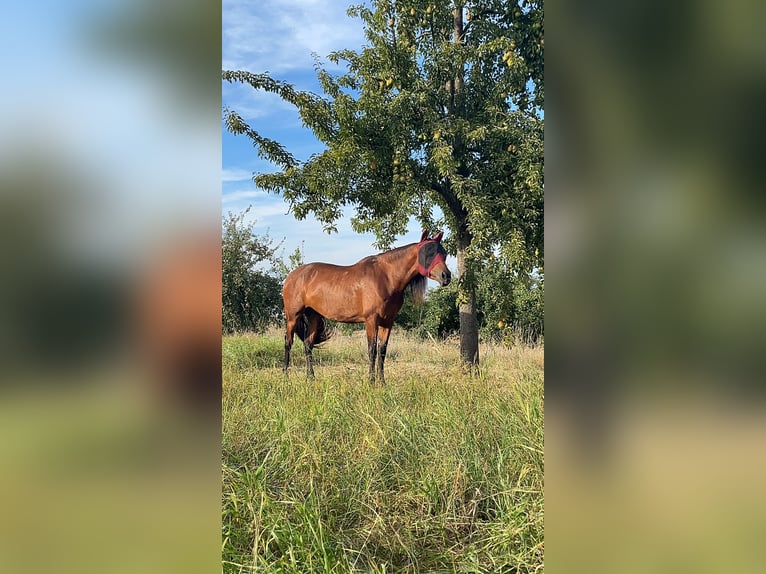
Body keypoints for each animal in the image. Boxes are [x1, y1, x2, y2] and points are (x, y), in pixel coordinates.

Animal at [280, 232, 450, 384]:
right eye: (429, 252)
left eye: (444, 253)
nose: (446, 276)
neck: (386, 277)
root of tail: (291, 276)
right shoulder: (371, 320)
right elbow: (372, 350)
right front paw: (371, 381)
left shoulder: (388, 322)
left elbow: (382, 351)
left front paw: (382, 382)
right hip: (292, 317)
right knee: (288, 342)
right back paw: (286, 377)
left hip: (313, 316)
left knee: (308, 344)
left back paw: (311, 378)